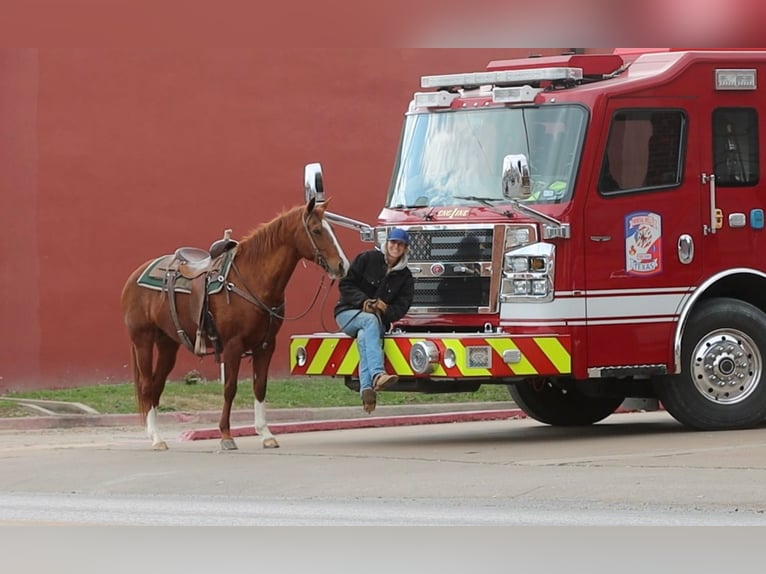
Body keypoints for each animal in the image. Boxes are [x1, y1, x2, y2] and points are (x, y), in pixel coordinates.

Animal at [120, 198, 349, 451]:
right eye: (317, 230)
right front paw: (226, 436)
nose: (342, 266)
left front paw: (265, 434)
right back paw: (157, 438)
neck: (252, 279)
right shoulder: (233, 345)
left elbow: (260, 387)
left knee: (157, 386)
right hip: (143, 340)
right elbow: (230, 388)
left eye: (333, 229)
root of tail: (135, 275)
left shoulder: (266, 345)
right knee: (147, 386)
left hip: (168, 344)